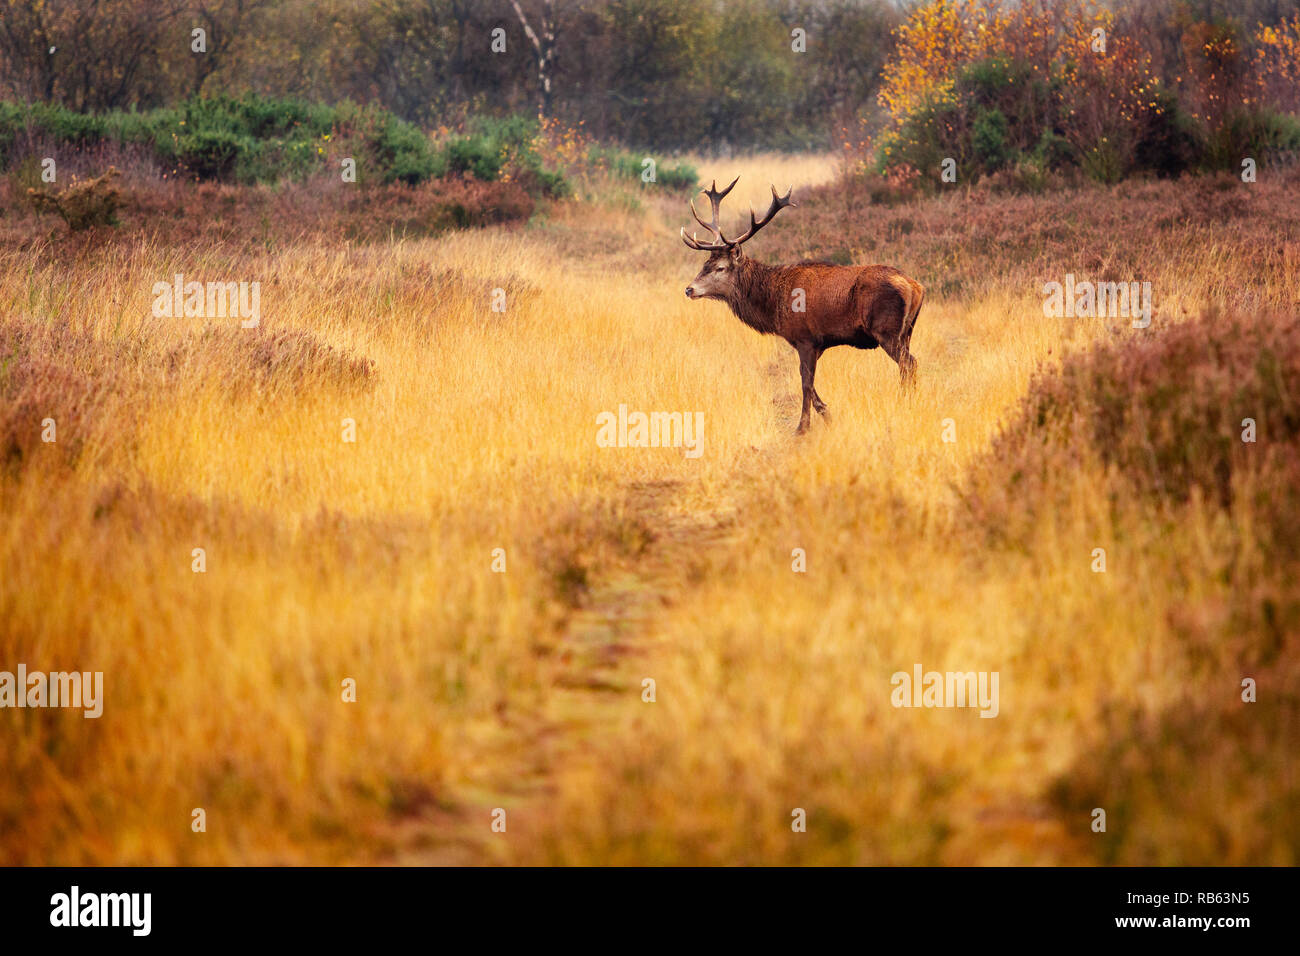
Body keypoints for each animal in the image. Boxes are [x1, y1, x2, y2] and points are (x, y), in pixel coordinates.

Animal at [681, 175, 925, 434]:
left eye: (720, 268)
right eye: (704, 264)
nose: (689, 289)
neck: (773, 304)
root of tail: (916, 287)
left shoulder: (805, 337)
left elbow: (805, 382)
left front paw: (802, 427)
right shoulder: (816, 343)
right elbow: (809, 381)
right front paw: (827, 413)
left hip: (887, 331)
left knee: (909, 364)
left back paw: (903, 404)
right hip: (907, 331)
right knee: (909, 364)